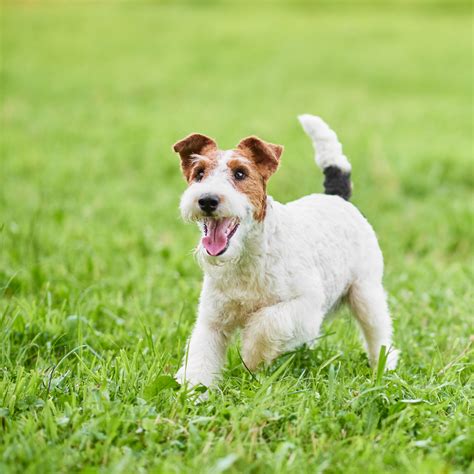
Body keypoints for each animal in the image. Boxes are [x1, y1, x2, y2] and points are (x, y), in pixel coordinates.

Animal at [172, 114, 398, 388]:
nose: (207, 200)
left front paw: (252, 356)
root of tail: (337, 197)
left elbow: (267, 323)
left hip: (366, 291)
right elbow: (200, 357)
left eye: (240, 173)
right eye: (199, 173)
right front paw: (193, 391)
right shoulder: (212, 321)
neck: (245, 259)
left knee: (379, 333)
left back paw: (384, 368)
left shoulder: (305, 304)